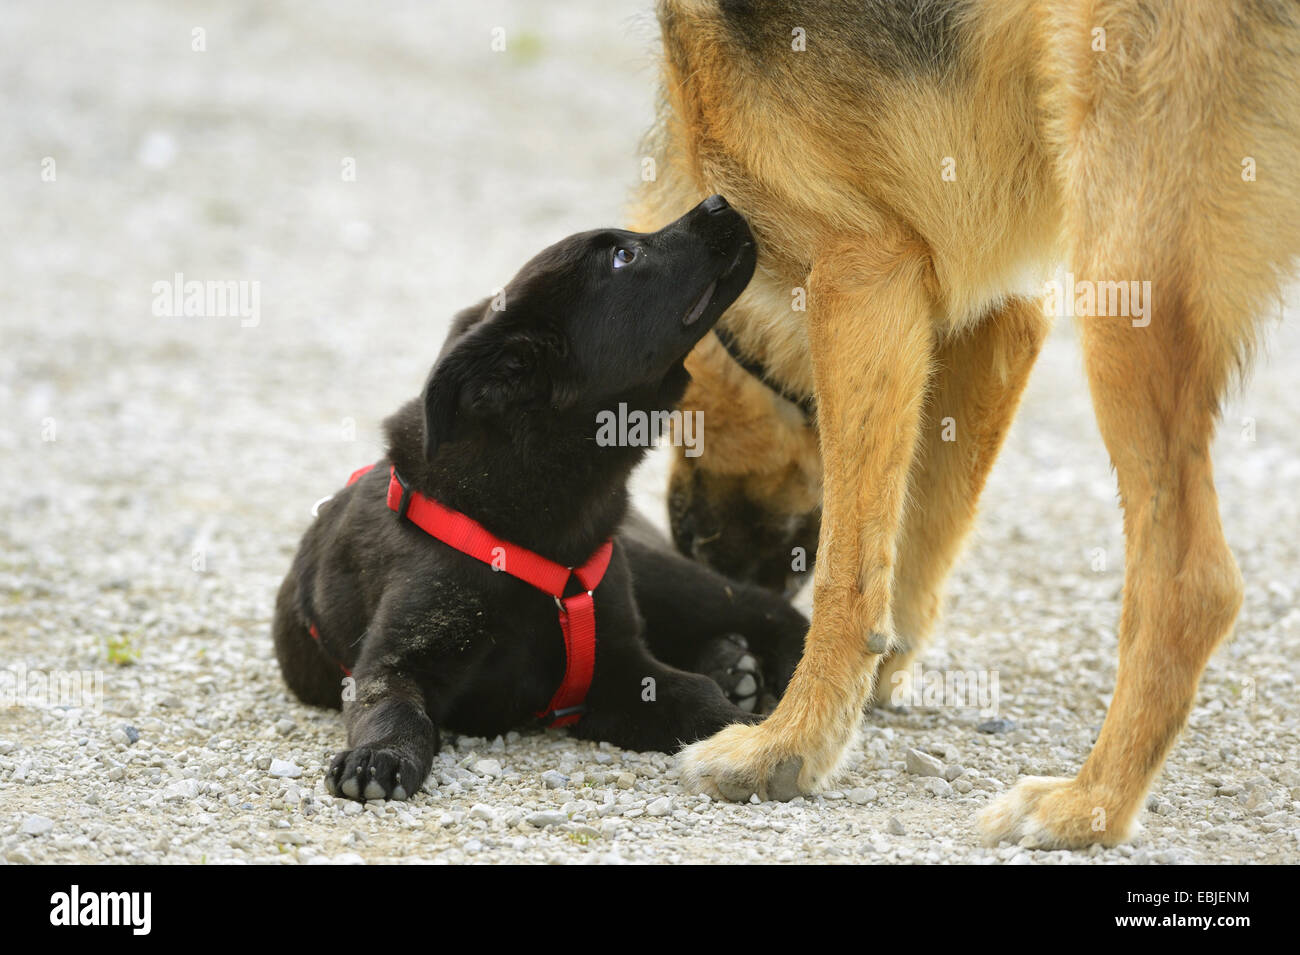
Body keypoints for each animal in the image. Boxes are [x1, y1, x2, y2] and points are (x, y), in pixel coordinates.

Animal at [270, 197, 806, 805]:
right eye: (624, 257)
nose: (719, 201)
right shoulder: (394, 660)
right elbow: (396, 710)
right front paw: (377, 755)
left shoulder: (620, 666)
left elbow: (700, 700)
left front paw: (754, 743)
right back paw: (732, 663)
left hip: (663, 576)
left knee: (769, 608)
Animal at [631, 0, 1300, 852]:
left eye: (667, 410)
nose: (687, 548)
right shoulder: (1000, 311)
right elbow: (920, 533)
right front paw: (874, 678)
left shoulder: (861, 275)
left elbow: (848, 575)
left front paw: (792, 743)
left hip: (1125, 280)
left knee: (1194, 581)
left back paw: (1091, 802)